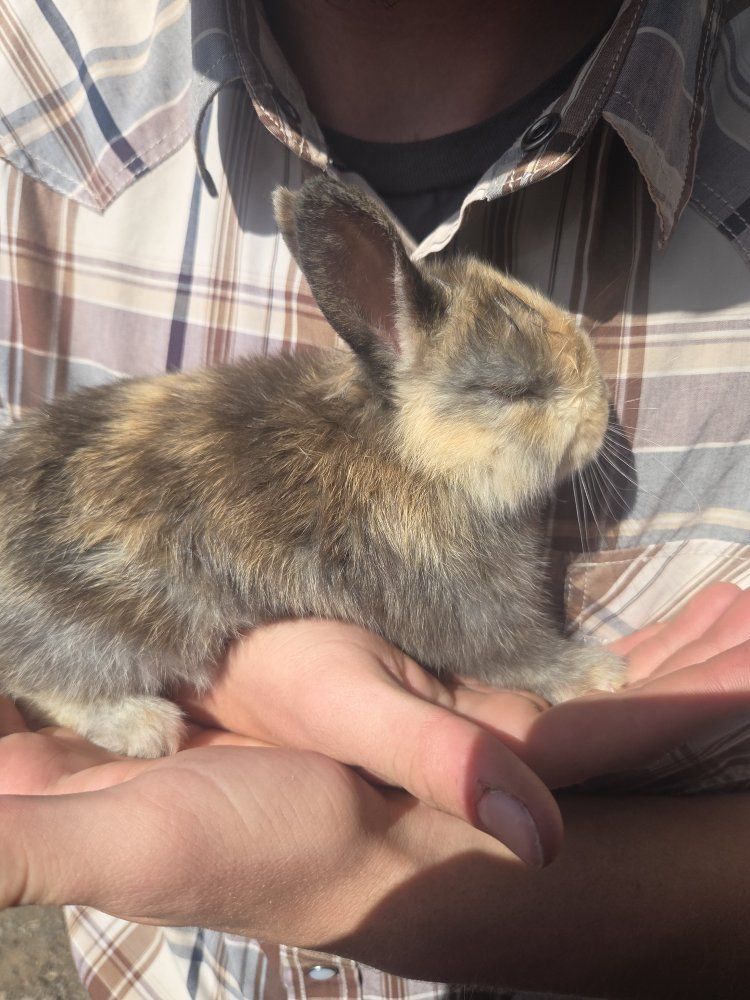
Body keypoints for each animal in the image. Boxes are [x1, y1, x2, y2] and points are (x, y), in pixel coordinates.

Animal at [0, 175, 624, 758]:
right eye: (515, 390)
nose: (602, 412)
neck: (412, 454)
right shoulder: (466, 603)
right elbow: (518, 655)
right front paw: (599, 672)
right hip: (110, 627)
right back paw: (144, 726)